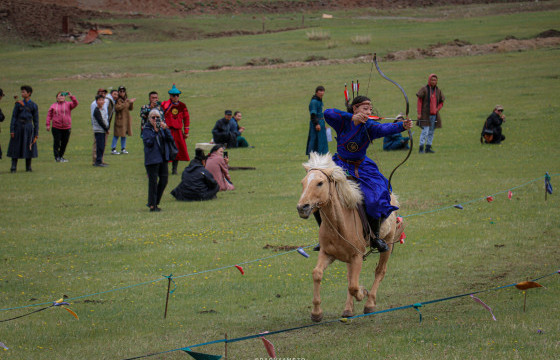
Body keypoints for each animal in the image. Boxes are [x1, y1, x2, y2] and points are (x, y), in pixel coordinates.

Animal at [298, 152, 402, 320]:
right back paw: (348, 309)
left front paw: (363, 292)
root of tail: (392, 197)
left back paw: (370, 303)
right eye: (303, 183)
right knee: (350, 276)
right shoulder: (327, 253)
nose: (302, 207)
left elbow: (354, 286)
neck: (339, 226)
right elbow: (317, 274)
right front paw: (316, 312)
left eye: (320, 183)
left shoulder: (357, 256)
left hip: (388, 242)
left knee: (380, 271)